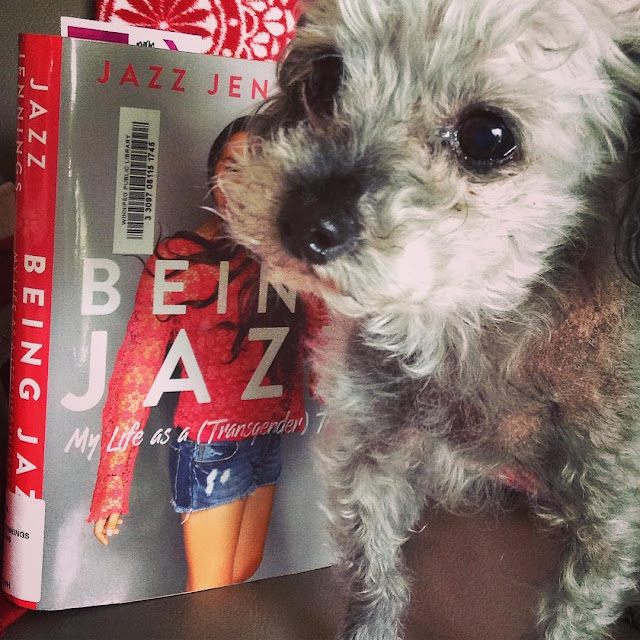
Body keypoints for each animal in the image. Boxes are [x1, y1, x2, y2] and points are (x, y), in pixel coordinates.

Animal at [218, 1, 640, 640]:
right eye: (325, 76)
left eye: (488, 136)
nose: (303, 224)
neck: (471, 321)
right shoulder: (366, 452)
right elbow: (373, 572)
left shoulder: (609, 519)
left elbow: (571, 615)